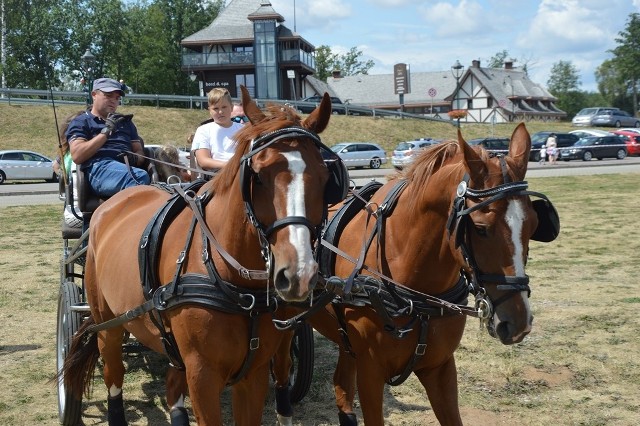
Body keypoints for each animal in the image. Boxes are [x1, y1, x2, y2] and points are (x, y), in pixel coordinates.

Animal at [62, 88, 348, 424]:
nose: (298, 274)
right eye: (257, 175)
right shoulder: (203, 376)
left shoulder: (253, 373)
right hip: (108, 324)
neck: (236, 285)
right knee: (113, 376)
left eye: (326, 177)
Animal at [272, 121, 556, 424]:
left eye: (534, 224)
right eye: (480, 228)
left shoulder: (440, 368)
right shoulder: (371, 372)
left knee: (341, 388)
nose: (519, 323)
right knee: (282, 368)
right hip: (284, 322)